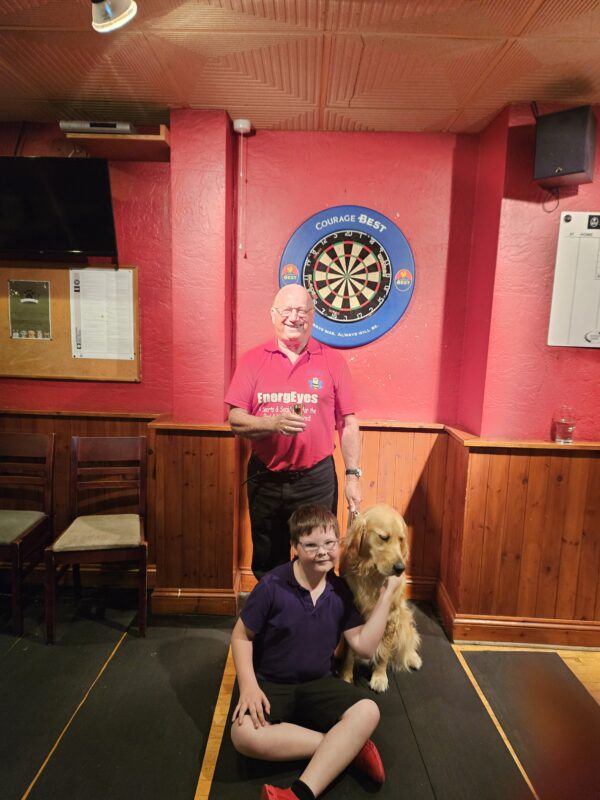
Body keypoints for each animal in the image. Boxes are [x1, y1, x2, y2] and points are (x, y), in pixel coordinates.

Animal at [340, 504, 420, 692]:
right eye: (384, 537)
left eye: (401, 539)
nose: (400, 568)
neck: (372, 574)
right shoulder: (353, 614)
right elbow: (349, 651)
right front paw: (346, 675)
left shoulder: (391, 617)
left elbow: (384, 652)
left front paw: (379, 677)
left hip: (403, 619)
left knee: (409, 639)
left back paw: (412, 658)